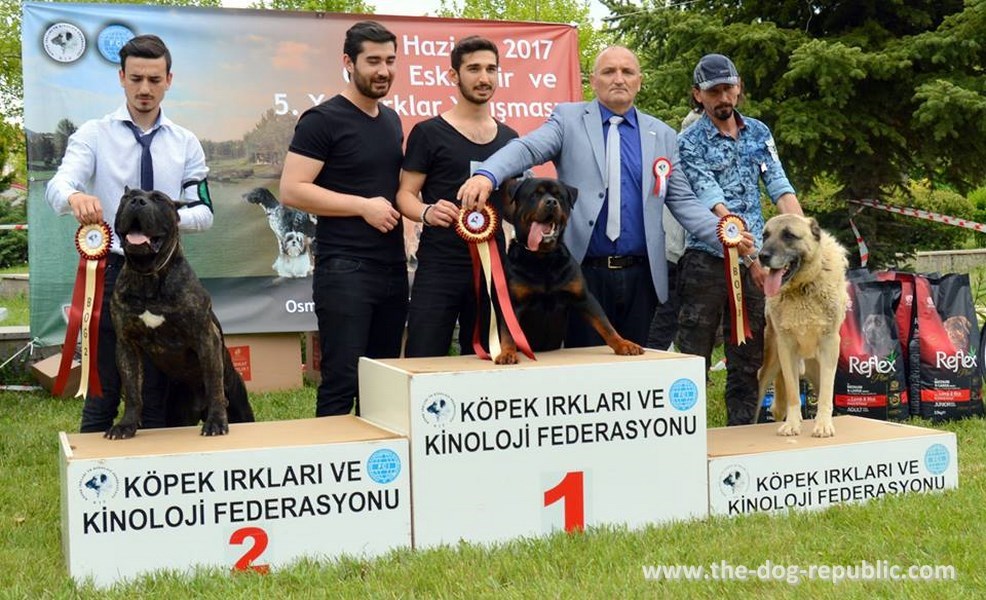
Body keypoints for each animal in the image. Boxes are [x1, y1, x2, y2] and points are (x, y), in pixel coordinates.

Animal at [108, 190, 254, 438]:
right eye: (127, 197)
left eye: (158, 199)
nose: (137, 201)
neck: (148, 276)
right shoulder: (126, 344)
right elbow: (133, 390)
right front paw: (126, 425)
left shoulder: (206, 337)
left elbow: (214, 383)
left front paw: (216, 422)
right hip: (177, 414)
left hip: (241, 408)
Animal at [756, 214, 848, 436]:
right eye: (765, 236)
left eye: (789, 235)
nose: (762, 256)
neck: (802, 288)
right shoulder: (786, 348)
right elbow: (792, 393)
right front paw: (792, 424)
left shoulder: (829, 345)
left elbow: (825, 395)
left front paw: (823, 425)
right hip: (772, 361)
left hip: (817, 367)